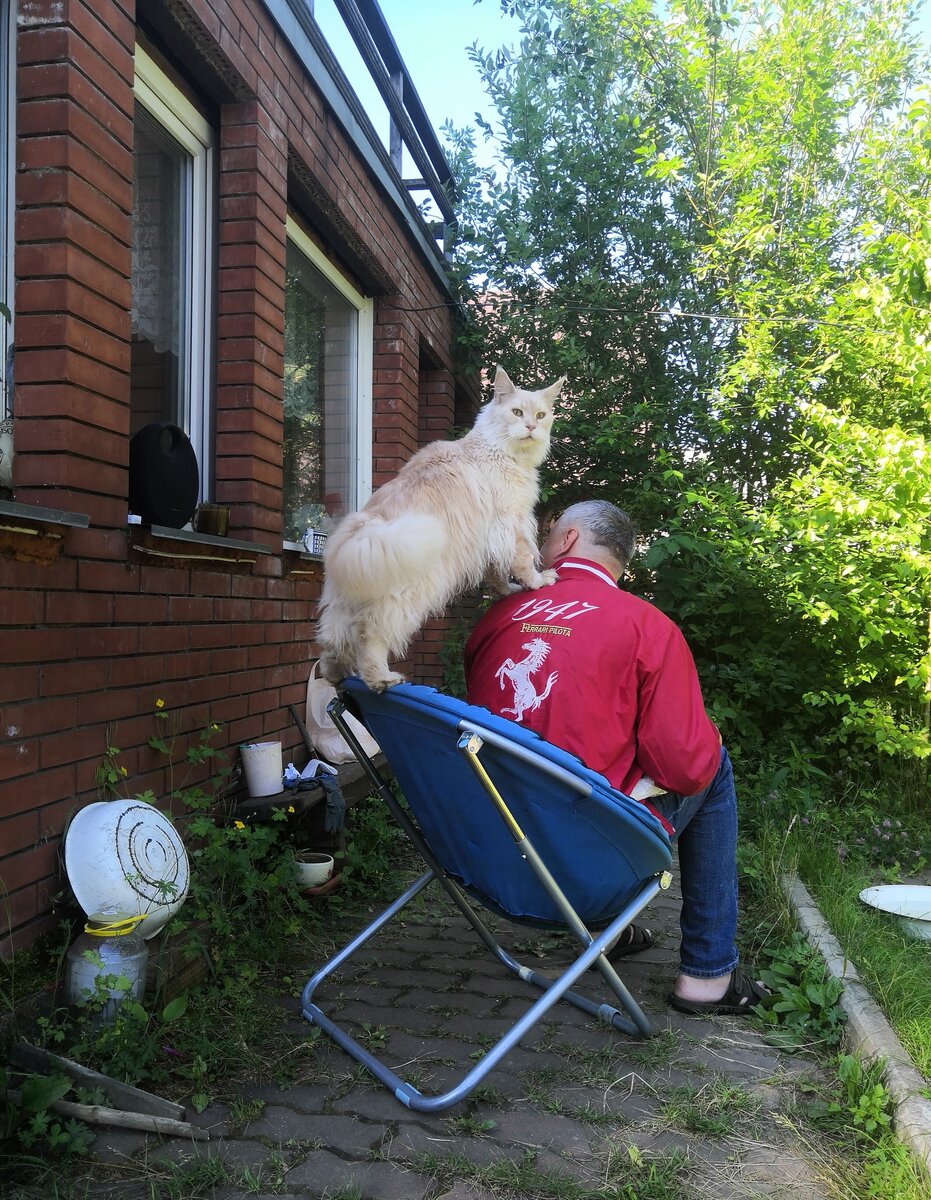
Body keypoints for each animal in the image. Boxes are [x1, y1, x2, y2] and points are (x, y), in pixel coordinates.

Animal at [311, 360, 563, 691]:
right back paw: (381, 678)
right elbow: (522, 562)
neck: (499, 450)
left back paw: (337, 677)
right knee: (369, 634)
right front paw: (537, 582)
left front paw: (506, 592)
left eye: (541, 415)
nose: (532, 427)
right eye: (517, 412)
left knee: (333, 641)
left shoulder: (491, 537)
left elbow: (496, 574)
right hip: (408, 596)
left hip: (343, 605)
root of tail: (359, 530)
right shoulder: (511, 523)